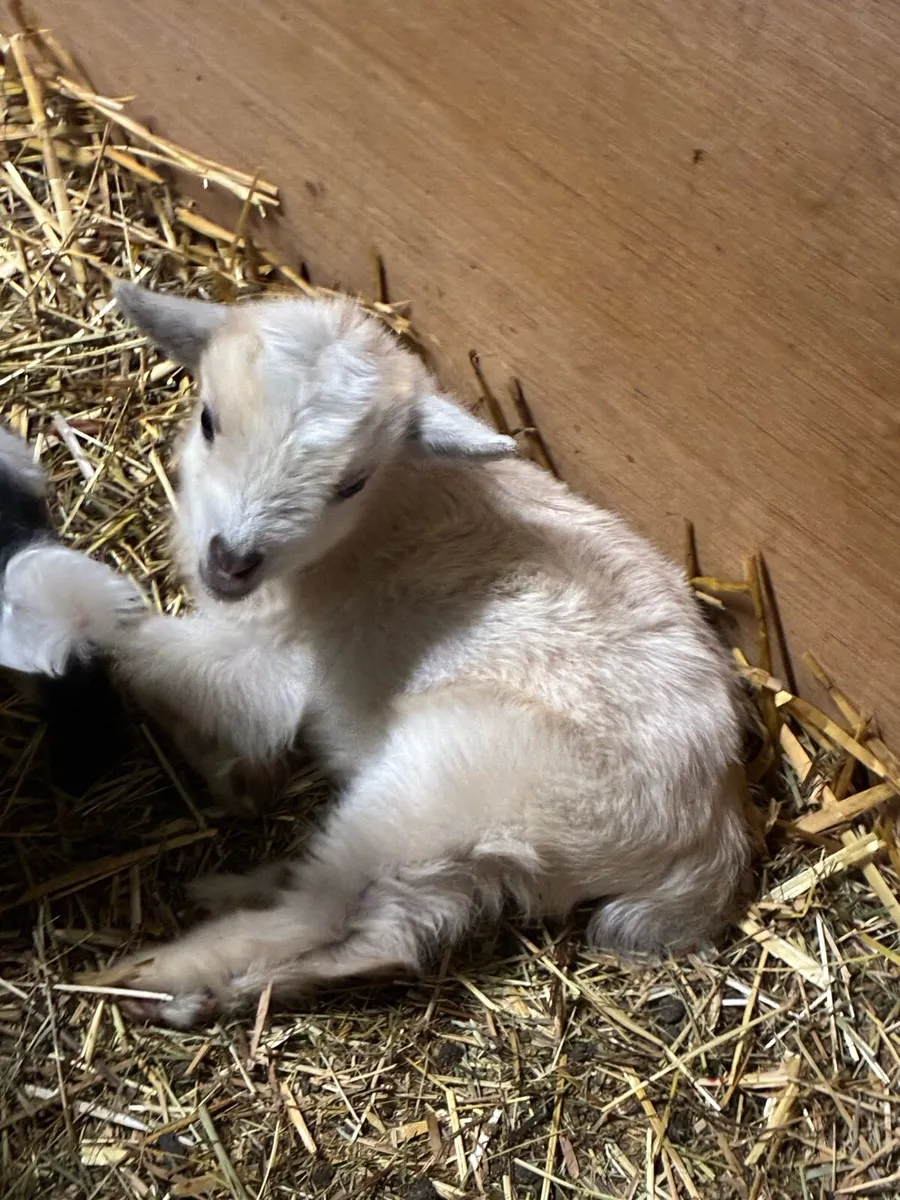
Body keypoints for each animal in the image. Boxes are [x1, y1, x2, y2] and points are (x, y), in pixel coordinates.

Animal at [50, 281, 751, 1027]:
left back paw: (152, 976)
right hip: (474, 843)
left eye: (351, 484)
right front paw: (235, 780)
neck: (380, 519)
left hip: (444, 778)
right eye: (209, 420)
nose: (232, 560)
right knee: (390, 928)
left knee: (326, 914)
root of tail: (710, 835)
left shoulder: (271, 666)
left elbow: (146, 650)